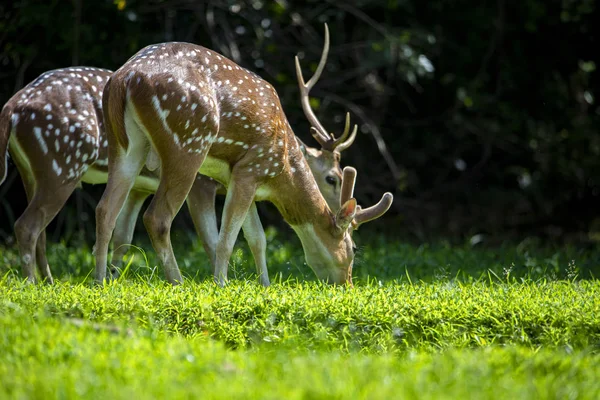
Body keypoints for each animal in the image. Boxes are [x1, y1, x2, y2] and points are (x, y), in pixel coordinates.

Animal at [94, 23, 394, 286]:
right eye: (353, 249)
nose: (348, 285)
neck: (283, 170)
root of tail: (125, 79)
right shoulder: (251, 168)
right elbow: (225, 239)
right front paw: (221, 284)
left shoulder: (239, 179)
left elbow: (257, 238)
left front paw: (265, 285)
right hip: (187, 143)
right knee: (157, 217)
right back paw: (178, 282)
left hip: (126, 145)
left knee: (105, 209)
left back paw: (101, 281)